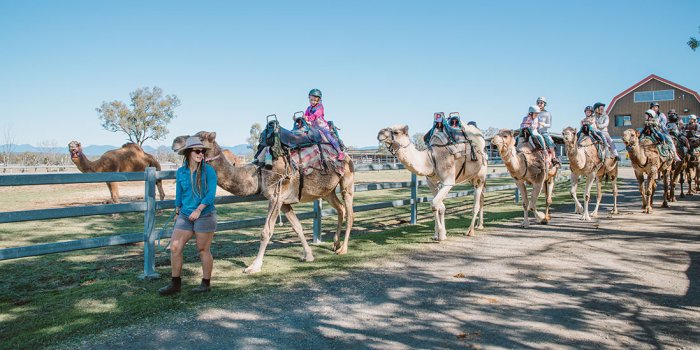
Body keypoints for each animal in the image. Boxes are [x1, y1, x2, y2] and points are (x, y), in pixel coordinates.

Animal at [170, 131, 356, 274]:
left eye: (200, 138)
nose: (175, 141)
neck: (259, 173)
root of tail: (346, 154)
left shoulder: (275, 198)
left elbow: (266, 232)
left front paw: (254, 266)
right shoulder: (284, 202)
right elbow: (297, 227)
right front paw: (308, 256)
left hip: (347, 180)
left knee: (350, 212)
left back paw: (343, 249)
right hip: (327, 191)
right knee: (340, 208)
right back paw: (335, 244)